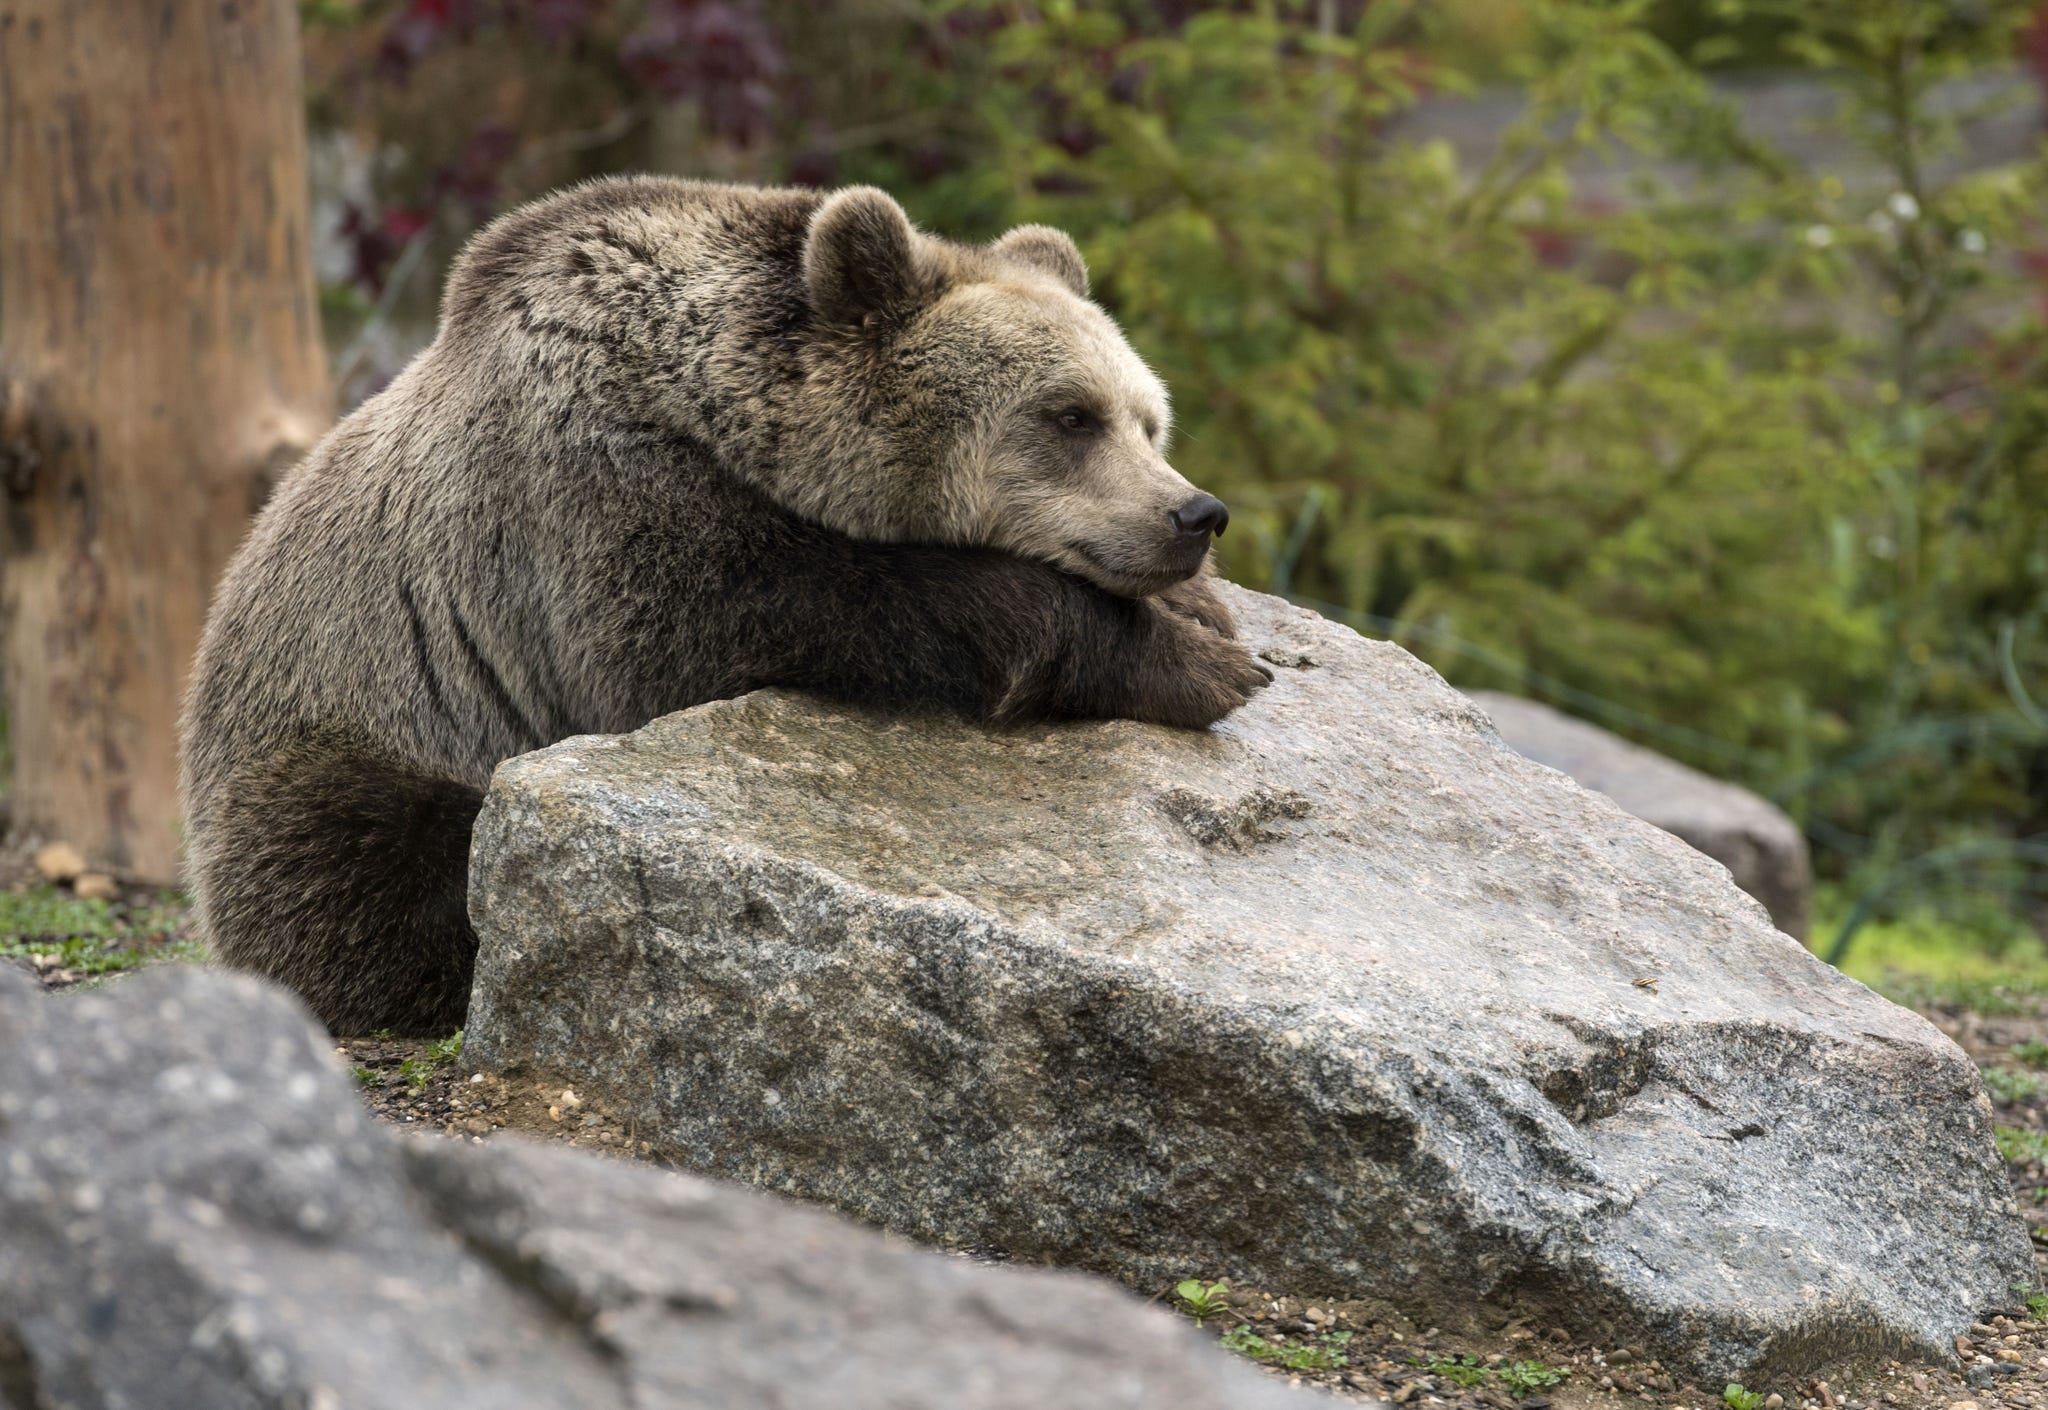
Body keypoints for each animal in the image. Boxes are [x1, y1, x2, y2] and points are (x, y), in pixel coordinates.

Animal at [180, 179, 1261, 1037]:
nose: (1193, 513)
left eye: (1149, 418)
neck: (702, 393)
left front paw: (1208, 614)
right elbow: (756, 621)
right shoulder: (593, 495)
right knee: (397, 863)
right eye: (1070, 415)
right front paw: (1198, 664)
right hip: (349, 731)